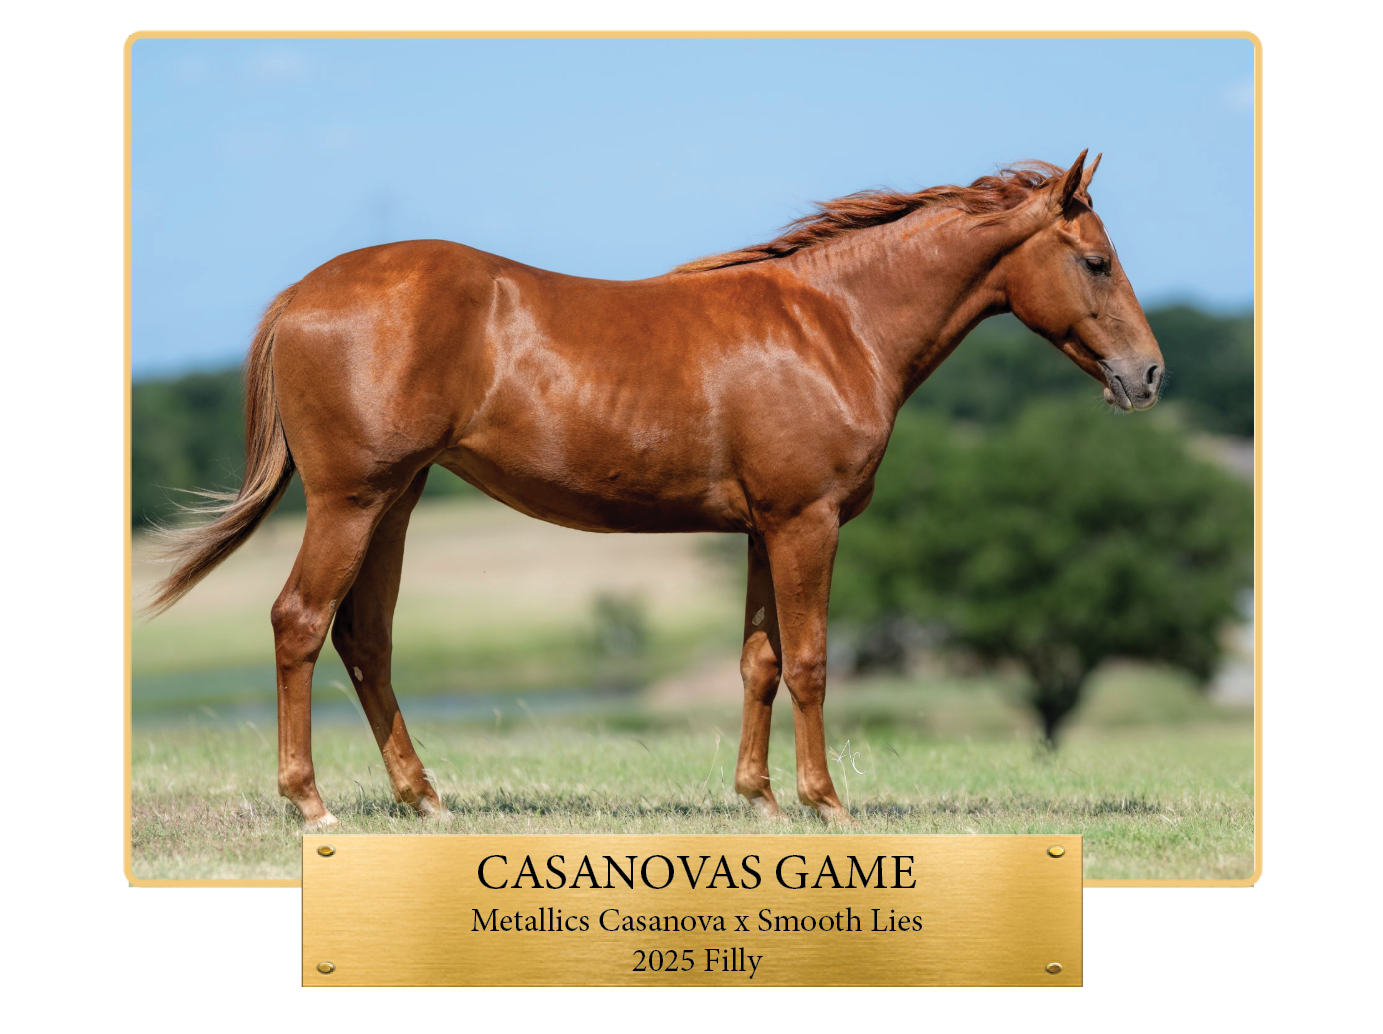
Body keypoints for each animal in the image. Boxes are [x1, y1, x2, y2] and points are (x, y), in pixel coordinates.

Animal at [148, 150, 1164, 829]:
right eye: (1096, 261)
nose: (1148, 374)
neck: (834, 323)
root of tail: (300, 295)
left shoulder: (764, 529)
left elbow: (759, 661)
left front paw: (758, 800)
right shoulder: (807, 523)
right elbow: (811, 662)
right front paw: (826, 803)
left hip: (394, 503)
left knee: (365, 639)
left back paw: (423, 797)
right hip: (351, 502)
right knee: (299, 622)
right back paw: (310, 803)